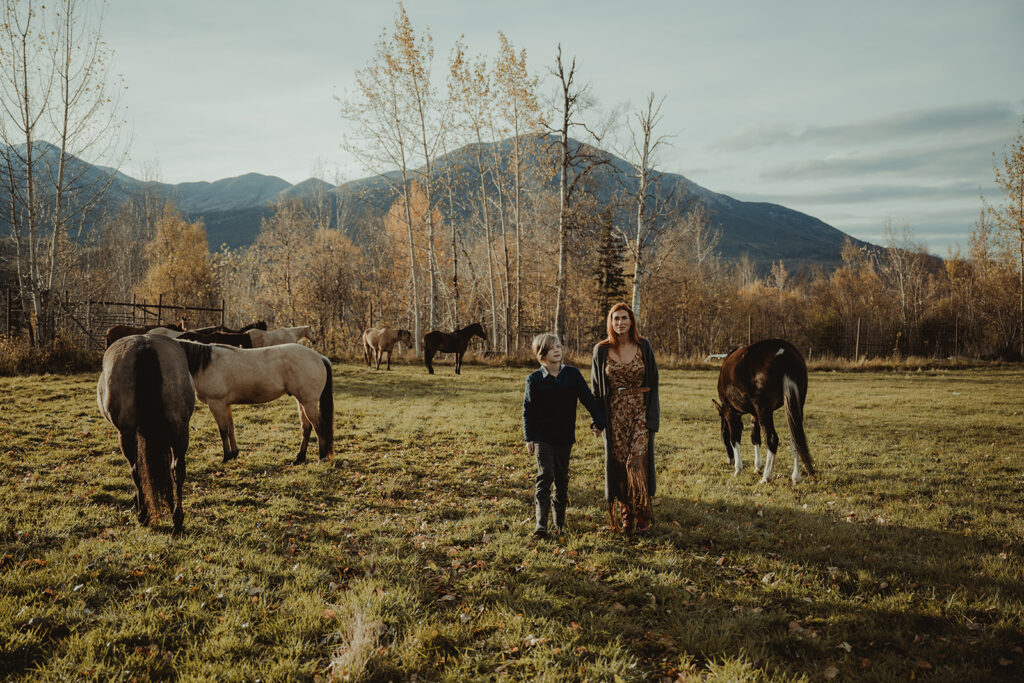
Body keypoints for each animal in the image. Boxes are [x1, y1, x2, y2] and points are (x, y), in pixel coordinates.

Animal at [96, 333, 195, 536]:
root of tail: (144, 346)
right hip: (179, 428)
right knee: (177, 470)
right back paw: (177, 518)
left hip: (125, 433)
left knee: (135, 469)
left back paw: (144, 515)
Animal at [176, 339, 333, 464]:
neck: (205, 364)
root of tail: (319, 357)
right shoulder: (225, 405)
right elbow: (231, 428)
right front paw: (234, 453)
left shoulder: (216, 404)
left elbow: (223, 431)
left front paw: (226, 457)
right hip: (301, 402)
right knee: (306, 428)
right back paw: (299, 458)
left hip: (309, 403)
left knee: (319, 426)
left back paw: (321, 458)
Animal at [712, 339, 815, 483]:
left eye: (722, 435)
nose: (729, 461)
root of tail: (785, 353)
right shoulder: (754, 414)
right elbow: (755, 437)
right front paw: (757, 466)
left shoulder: (730, 412)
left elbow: (734, 438)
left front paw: (738, 469)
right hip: (796, 405)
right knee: (795, 438)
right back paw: (796, 477)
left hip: (764, 410)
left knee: (772, 438)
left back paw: (766, 477)